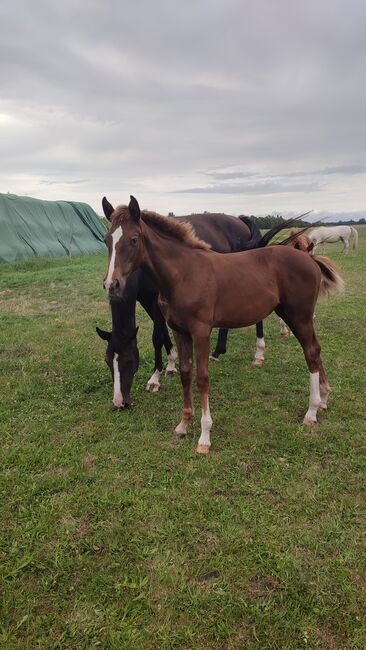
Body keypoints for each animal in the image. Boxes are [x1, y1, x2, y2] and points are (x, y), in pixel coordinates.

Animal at [103, 195, 344, 454]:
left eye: (134, 239)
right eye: (107, 239)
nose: (111, 284)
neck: (183, 274)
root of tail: (309, 258)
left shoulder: (201, 332)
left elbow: (202, 378)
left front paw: (204, 436)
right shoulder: (179, 331)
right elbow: (185, 373)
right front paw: (183, 425)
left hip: (299, 316)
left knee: (311, 352)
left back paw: (311, 411)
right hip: (294, 315)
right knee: (315, 349)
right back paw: (324, 400)